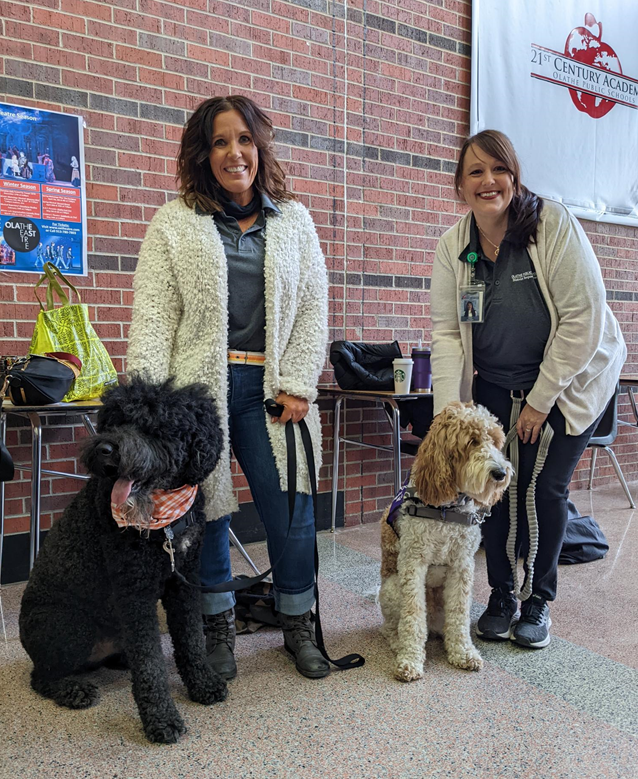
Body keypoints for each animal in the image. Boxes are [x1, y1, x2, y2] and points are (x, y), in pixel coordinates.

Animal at [19, 380, 228, 748]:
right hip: (68, 623)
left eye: (153, 426)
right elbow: (150, 664)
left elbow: (190, 638)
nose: (104, 449)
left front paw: (203, 683)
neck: (162, 523)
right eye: (113, 422)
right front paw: (161, 718)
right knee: (40, 676)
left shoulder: (184, 581)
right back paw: (72, 690)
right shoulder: (135, 593)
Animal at [382, 402, 512, 684]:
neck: (445, 509)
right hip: (391, 589)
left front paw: (463, 652)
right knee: (392, 627)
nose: (500, 473)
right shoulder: (412, 564)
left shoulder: (462, 566)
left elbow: (459, 613)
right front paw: (410, 660)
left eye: (496, 441)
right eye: (472, 441)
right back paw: (398, 643)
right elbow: (413, 616)